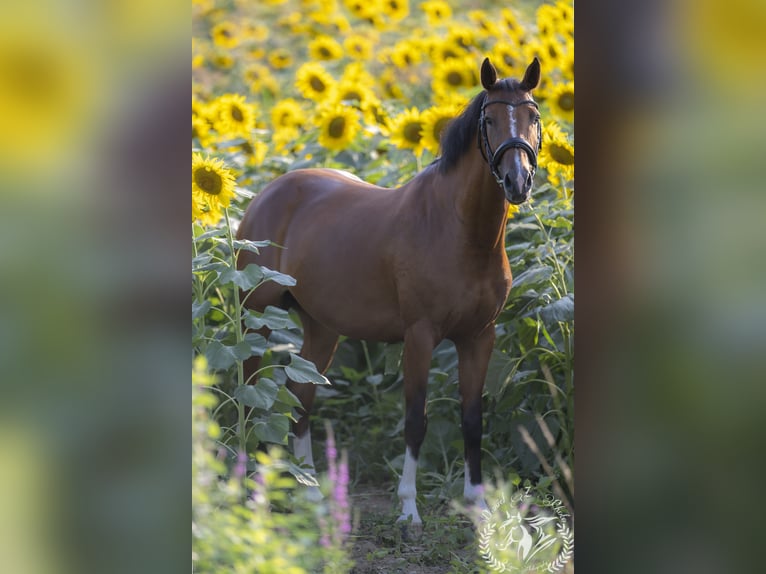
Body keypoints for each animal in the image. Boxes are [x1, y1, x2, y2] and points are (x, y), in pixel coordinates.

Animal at [237, 58, 544, 528]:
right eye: (489, 119)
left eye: (533, 116)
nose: (518, 181)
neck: (459, 231)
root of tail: (267, 194)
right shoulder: (419, 336)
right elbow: (415, 419)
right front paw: (409, 509)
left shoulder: (479, 337)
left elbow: (473, 419)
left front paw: (478, 507)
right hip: (257, 315)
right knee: (251, 392)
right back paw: (249, 486)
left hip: (322, 329)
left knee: (302, 396)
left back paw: (310, 491)